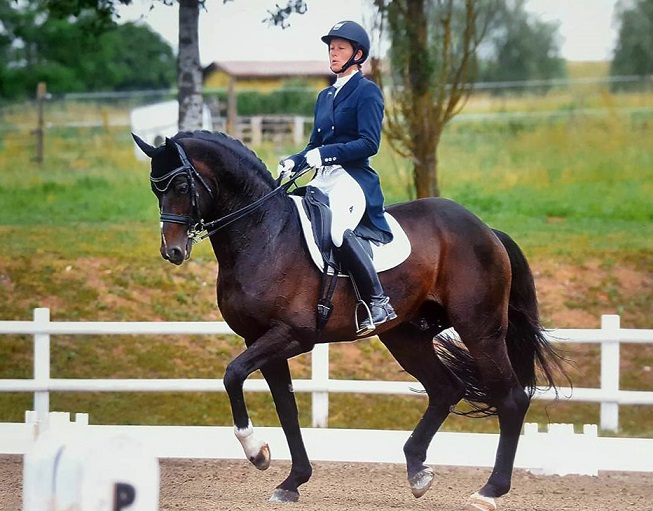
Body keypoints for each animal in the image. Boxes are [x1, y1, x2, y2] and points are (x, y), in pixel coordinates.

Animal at [133, 130, 565, 511]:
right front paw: (292, 481)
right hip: (406, 336)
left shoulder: (292, 335)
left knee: (511, 398)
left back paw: (489, 491)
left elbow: (233, 374)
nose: (172, 251)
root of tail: (485, 229)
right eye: (155, 189)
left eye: (182, 186)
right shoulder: (260, 340)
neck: (263, 234)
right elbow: (286, 408)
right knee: (446, 388)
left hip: (480, 329)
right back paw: (417, 471)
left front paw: (257, 453)